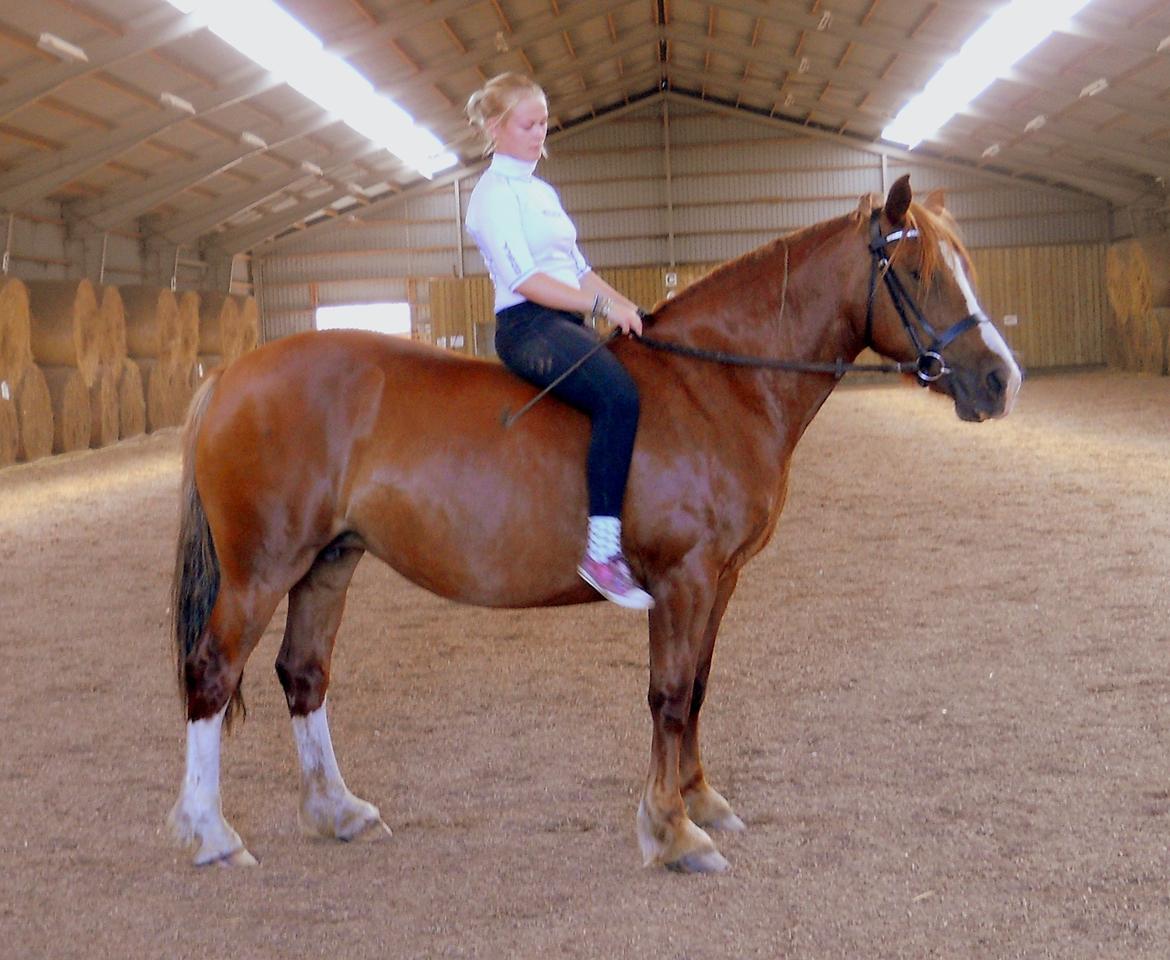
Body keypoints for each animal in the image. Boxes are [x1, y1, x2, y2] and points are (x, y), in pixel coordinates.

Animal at [169, 176, 1020, 874]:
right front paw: (671, 831)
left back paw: (336, 811)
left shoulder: (722, 580)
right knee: (212, 671)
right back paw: (211, 834)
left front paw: (700, 801)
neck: (714, 385)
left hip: (329, 562)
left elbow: (699, 687)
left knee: (302, 675)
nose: (1000, 380)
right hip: (263, 567)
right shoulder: (683, 578)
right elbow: (668, 695)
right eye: (919, 272)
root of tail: (229, 374)